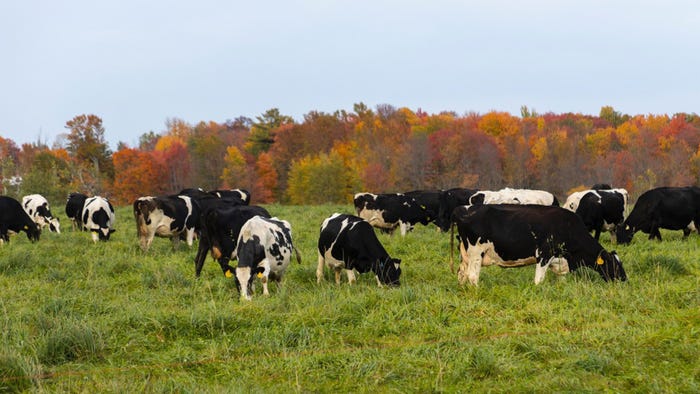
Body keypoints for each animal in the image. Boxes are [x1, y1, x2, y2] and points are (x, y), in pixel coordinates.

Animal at [452, 205, 628, 284]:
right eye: (614, 265)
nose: (625, 280)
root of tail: (463, 209)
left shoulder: (560, 261)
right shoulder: (544, 254)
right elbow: (539, 279)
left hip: (466, 256)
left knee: (462, 274)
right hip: (476, 254)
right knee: (472, 276)